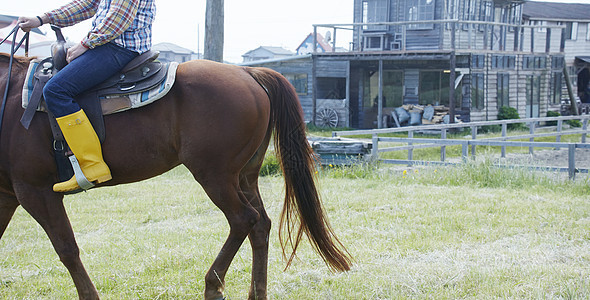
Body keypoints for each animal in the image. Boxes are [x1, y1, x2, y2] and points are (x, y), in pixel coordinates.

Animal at [0, 52, 352, 298]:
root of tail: (246, 71)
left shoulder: (35, 191)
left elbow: (66, 248)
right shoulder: (8, 195)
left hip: (214, 175)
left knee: (244, 220)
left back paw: (213, 286)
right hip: (244, 175)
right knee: (260, 225)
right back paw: (256, 292)